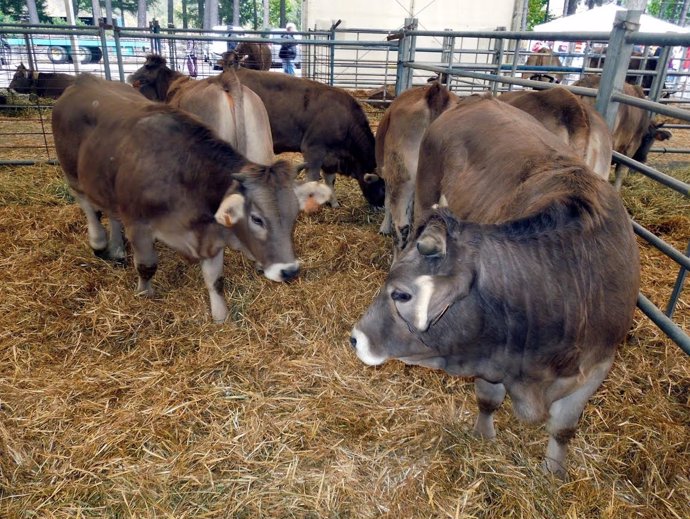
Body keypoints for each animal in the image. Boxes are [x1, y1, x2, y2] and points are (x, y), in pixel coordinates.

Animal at [52, 75, 326, 322]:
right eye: (257, 219)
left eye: (294, 216)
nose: (289, 271)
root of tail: (84, 80)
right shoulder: (138, 224)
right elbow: (147, 265)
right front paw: (144, 295)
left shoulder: (211, 234)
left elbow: (216, 280)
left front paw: (220, 318)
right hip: (72, 174)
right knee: (89, 207)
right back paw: (99, 242)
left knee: (110, 213)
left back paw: (117, 249)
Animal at [219, 58, 382, 208]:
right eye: (383, 188)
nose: (381, 206)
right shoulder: (313, 150)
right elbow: (312, 180)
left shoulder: (331, 159)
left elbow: (330, 180)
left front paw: (334, 203)